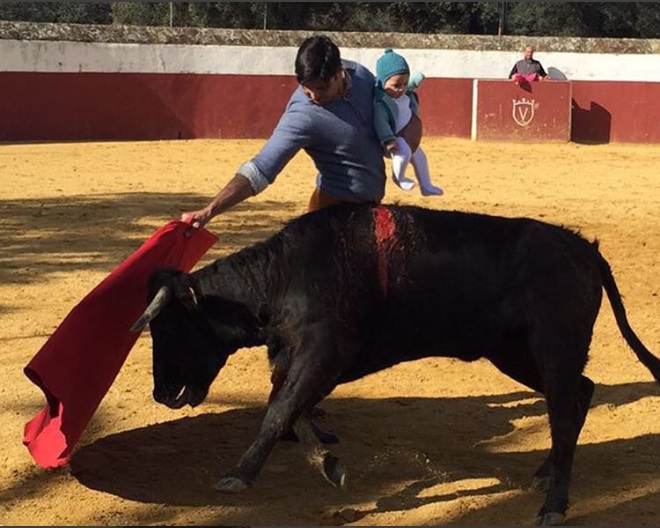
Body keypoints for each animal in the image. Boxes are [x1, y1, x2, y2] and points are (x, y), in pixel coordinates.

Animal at [131, 202, 656, 524]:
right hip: (513, 353)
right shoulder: (299, 358)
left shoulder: (324, 352)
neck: (285, 275)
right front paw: (328, 462)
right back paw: (546, 471)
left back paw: (555, 504)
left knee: (564, 411)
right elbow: (289, 408)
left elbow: (279, 411)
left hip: (553, 346)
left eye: (169, 328)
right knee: (579, 394)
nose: (161, 393)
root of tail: (583, 248)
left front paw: (238, 476)